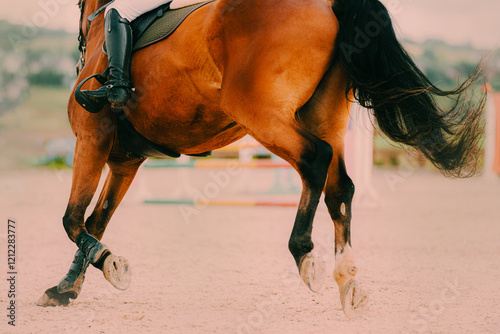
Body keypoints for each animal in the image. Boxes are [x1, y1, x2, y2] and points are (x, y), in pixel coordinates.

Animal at [38, 0, 484, 318]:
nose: (79, 46)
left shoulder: (91, 140)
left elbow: (72, 219)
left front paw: (111, 264)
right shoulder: (125, 162)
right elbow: (95, 220)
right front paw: (65, 288)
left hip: (262, 114)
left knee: (314, 160)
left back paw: (305, 254)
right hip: (323, 115)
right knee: (340, 188)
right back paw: (347, 281)